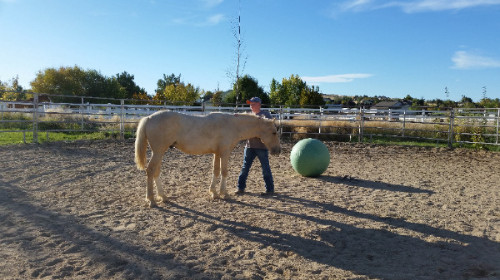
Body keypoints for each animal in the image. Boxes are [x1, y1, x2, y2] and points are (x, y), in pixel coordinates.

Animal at [133, 110, 282, 207]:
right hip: (158, 152)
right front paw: (224, 193)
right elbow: (224, 172)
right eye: (274, 132)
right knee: (150, 171)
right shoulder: (225, 152)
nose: (278, 151)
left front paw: (214, 193)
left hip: (159, 152)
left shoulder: (217, 153)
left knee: (156, 172)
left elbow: (215, 171)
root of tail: (149, 118)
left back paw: (163, 197)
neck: (232, 125)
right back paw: (151, 200)